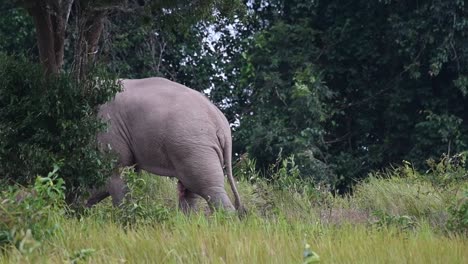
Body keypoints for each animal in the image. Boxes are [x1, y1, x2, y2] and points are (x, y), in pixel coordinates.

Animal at [85, 77, 243, 213]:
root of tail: (222, 124)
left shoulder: (109, 126)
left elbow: (116, 170)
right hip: (194, 148)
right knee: (190, 189)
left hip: (195, 145)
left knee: (207, 188)